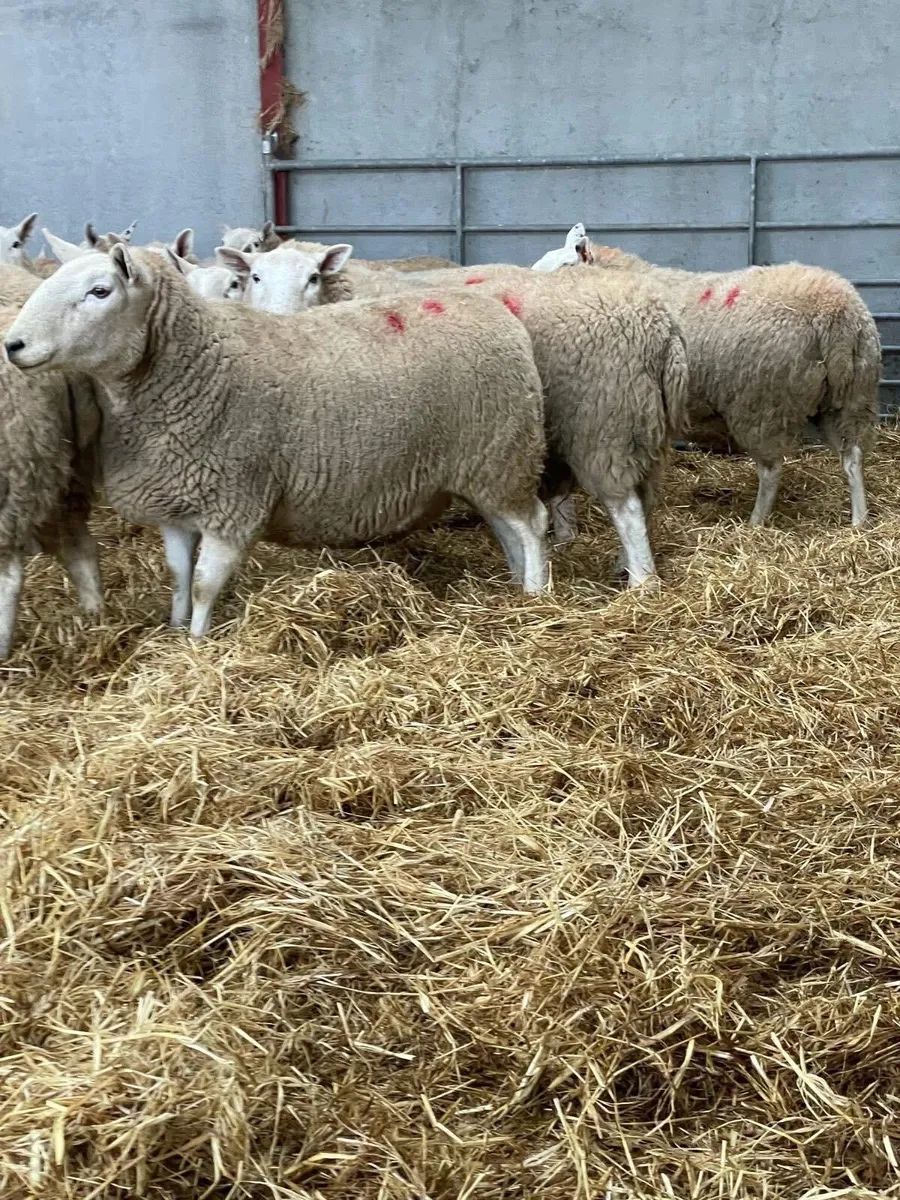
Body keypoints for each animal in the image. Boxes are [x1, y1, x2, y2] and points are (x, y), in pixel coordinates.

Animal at [5, 247, 550, 637]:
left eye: (99, 291)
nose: (13, 345)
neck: (194, 365)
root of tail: (497, 313)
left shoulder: (234, 501)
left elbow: (204, 584)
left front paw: (198, 642)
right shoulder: (176, 500)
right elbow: (179, 575)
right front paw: (175, 629)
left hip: (503, 450)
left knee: (531, 525)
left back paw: (535, 595)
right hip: (484, 463)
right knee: (506, 528)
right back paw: (515, 584)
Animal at [243, 252, 688, 585]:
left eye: (313, 277)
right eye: (254, 276)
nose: (276, 320)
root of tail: (661, 324)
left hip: (603, 421)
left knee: (625, 509)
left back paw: (641, 583)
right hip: (641, 426)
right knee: (643, 502)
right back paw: (624, 565)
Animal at [537, 237, 881, 526]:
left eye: (564, 264)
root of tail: (836, 313)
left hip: (763, 402)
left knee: (771, 470)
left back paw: (756, 522)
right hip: (849, 398)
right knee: (852, 457)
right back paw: (859, 520)